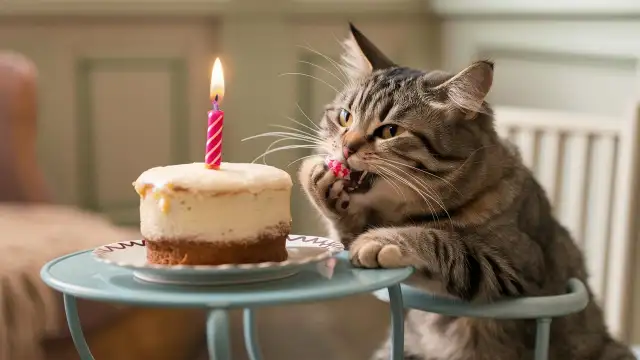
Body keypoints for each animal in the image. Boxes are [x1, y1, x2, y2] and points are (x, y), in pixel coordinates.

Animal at [296, 23, 636, 358]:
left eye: (390, 131)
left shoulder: (519, 268)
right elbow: (349, 230)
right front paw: (319, 183)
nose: (347, 147)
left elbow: (444, 243)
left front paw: (387, 239)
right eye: (345, 117)